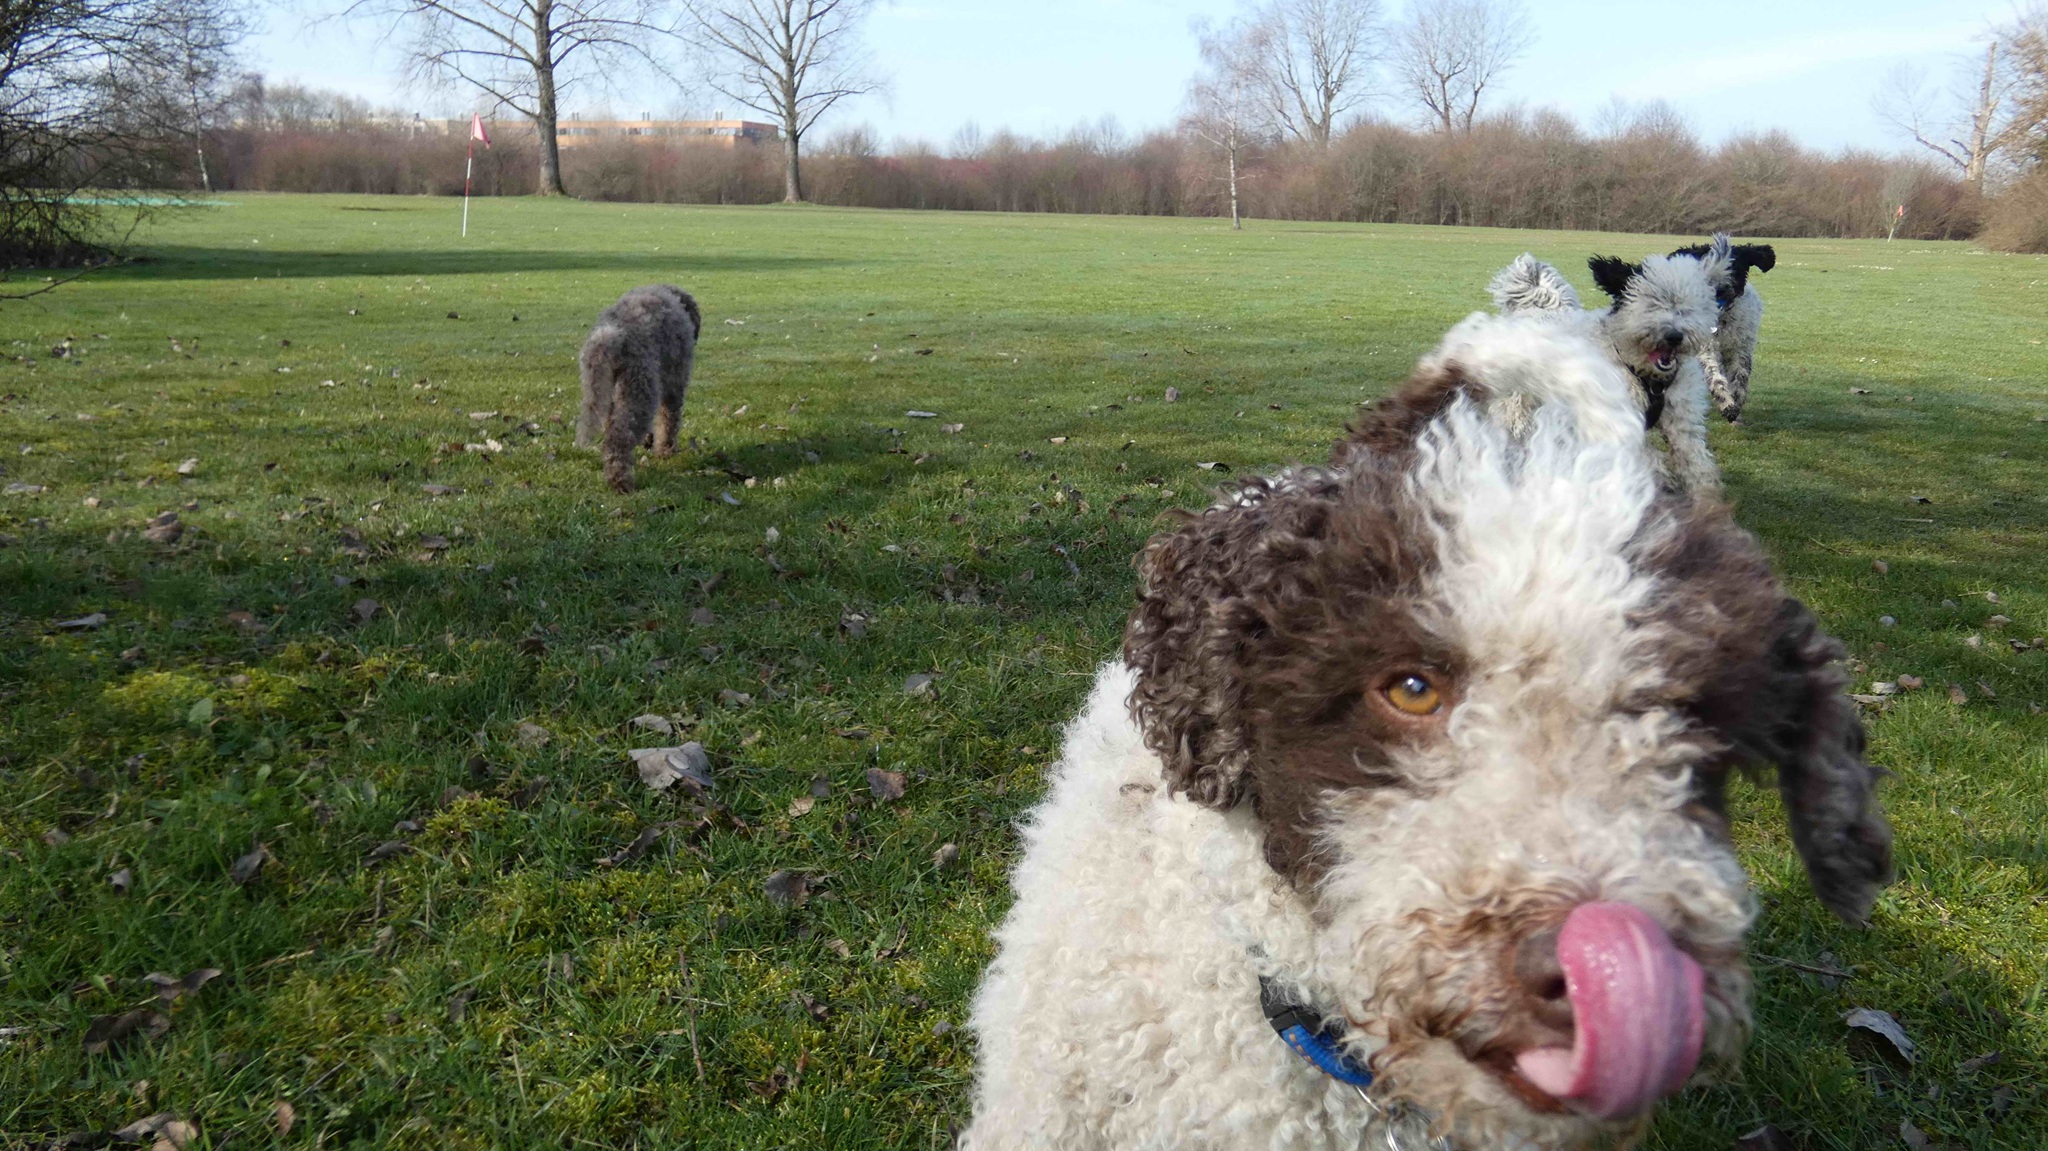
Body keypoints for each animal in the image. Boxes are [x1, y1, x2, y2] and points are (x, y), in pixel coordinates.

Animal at [575, 284, 701, 492]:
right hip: (639, 387)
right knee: (619, 437)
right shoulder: (673, 387)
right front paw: (665, 450)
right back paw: (620, 480)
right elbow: (668, 421)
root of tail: (610, 333)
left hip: (604, 389)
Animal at [1488, 241, 1729, 495]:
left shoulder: (1681, 419)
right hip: (1519, 408)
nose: (1674, 336)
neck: (1644, 374)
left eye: (1687, 308)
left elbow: (1696, 464)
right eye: (1651, 304)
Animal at [1669, 238, 1775, 423]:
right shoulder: (1707, 350)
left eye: (1733, 267)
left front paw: (1736, 403)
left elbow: (1740, 377)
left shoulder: (1740, 348)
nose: (1720, 289)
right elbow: (1715, 377)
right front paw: (1726, 403)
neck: (1722, 319)